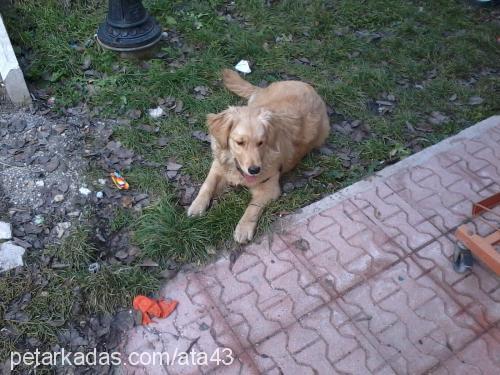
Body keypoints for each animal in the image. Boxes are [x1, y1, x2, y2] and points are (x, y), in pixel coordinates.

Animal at [188, 70, 328, 244]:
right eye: (240, 142)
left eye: (261, 143)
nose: (254, 170)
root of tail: (307, 86)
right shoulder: (218, 164)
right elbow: (207, 185)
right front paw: (197, 205)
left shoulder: (270, 188)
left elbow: (252, 207)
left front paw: (243, 228)